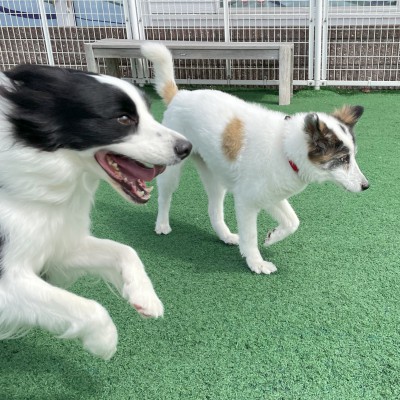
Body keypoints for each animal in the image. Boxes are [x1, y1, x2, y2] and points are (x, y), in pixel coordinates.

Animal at [0, 64, 191, 359]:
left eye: (149, 112)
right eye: (123, 118)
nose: (187, 148)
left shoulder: (59, 244)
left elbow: (125, 249)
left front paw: (145, 296)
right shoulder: (8, 277)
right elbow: (89, 308)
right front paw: (104, 341)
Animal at [141, 42, 369, 275]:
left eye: (352, 156)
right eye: (343, 159)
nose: (366, 186)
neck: (284, 149)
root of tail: (179, 95)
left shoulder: (271, 194)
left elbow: (292, 221)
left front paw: (272, 237)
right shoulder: (247, 201)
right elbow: (250, 236)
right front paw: (256, 263)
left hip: (214, 175)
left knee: (214, 209)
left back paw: (225, 236)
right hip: (172, 168)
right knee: (165, 196)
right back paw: (162, 224)